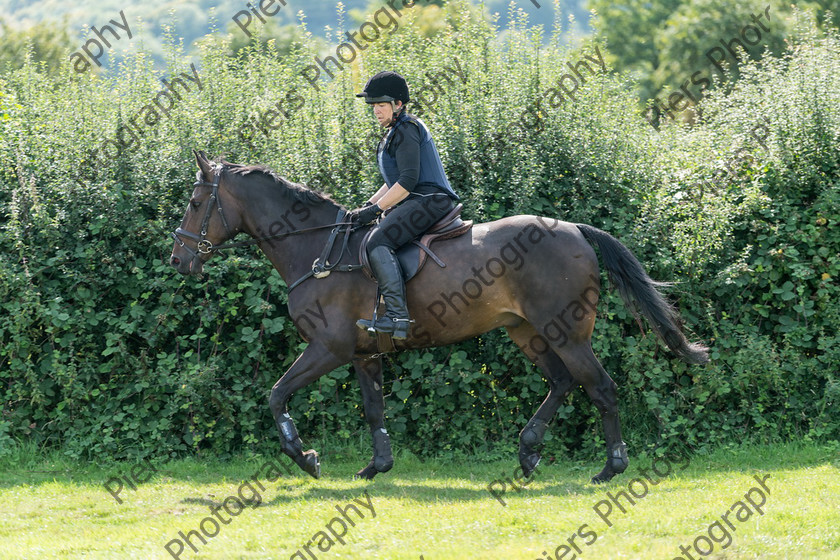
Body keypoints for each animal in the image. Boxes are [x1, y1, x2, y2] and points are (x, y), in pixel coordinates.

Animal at [171, 151, 708, 484]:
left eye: (197, 203)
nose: (179, 260)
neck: (316, 248)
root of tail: (574, 228)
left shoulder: (329, 348)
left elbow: (276, 394)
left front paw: (305, 458)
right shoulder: (363, 354)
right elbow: (374, 410)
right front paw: (377, 466)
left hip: (566, 332)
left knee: (600, 387)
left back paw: (609, 468)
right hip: (527, 331)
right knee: (562, 382)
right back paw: (528, 450)